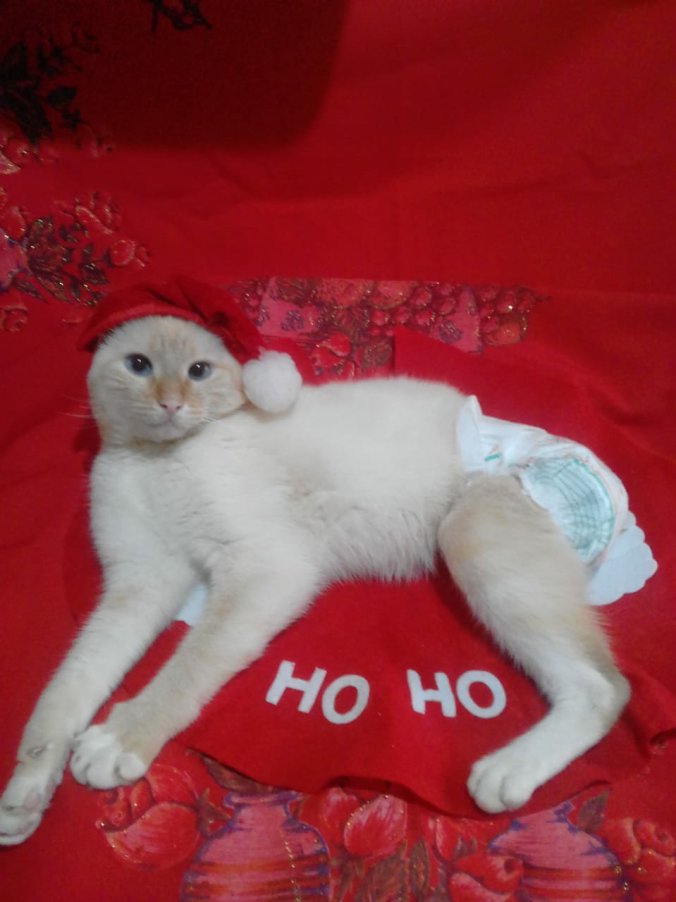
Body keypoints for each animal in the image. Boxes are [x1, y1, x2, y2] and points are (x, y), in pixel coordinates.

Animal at [0, 314, 630, 845]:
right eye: (138, 365)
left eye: (199, 371)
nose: (172, 403)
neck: (155, 460)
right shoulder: (138, 582)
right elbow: (65, 690)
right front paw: (25, 797)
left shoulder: (268, 569)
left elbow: (186, 668)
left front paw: (120, 740)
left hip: (471, 529)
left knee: (605, 688)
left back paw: (507, 771)